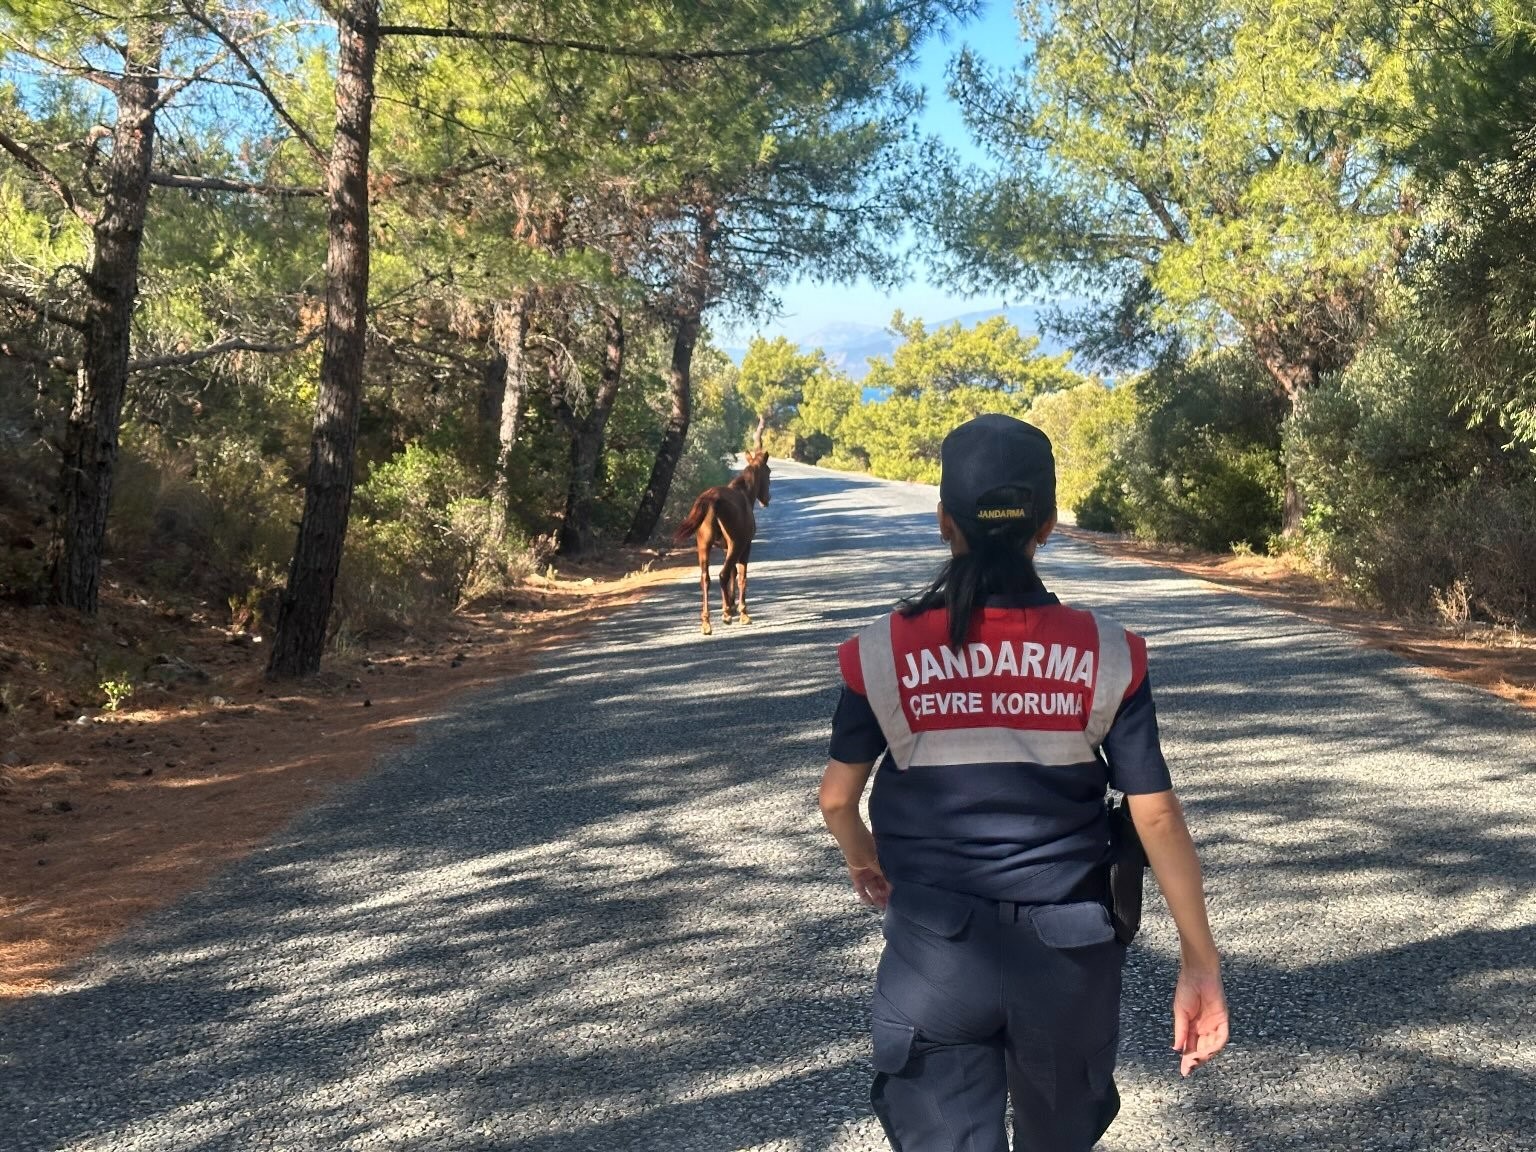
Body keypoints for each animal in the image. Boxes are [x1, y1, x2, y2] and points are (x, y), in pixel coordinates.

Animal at [675, 451, 774, 635]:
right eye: (769, 472)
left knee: (705, 578)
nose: (767, 498)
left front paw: (731, 605)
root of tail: (710, 502)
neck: (745, 494)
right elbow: (741, 576)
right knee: (722, 574)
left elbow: (733, 573)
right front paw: (741, 612)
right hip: (735, 545)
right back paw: (726, 614)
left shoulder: (725, 548)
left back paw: (706, 622)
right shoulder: (745, 545)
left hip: (704, 546)